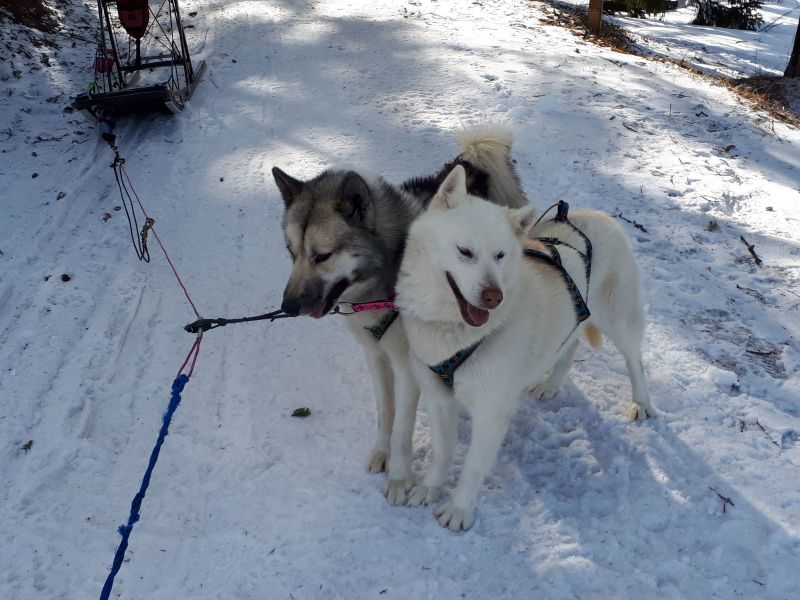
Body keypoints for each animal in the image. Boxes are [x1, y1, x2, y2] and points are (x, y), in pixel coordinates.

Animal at [272, 126, 528, 502]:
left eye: (322, 256)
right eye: (292, 253)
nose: (287, 307)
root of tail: (472, 162)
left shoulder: (408, 367)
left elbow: (403, 428)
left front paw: (399, 477)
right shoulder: (375, 356)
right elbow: (385, 413)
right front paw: (382, 453)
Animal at [396, 165, 652, 528]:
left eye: (500, 256)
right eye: (465, 252)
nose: (494, 296)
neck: (456, 333)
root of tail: (599, 215)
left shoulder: (491, 412)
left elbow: (473, 466)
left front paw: (459, 509)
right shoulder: (438, 397)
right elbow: (443, 451)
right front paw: (431, 487)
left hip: (621, 321)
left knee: (635, 360)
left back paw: (641, 402)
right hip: (575, 319)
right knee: (569, 346)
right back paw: (551, 384)